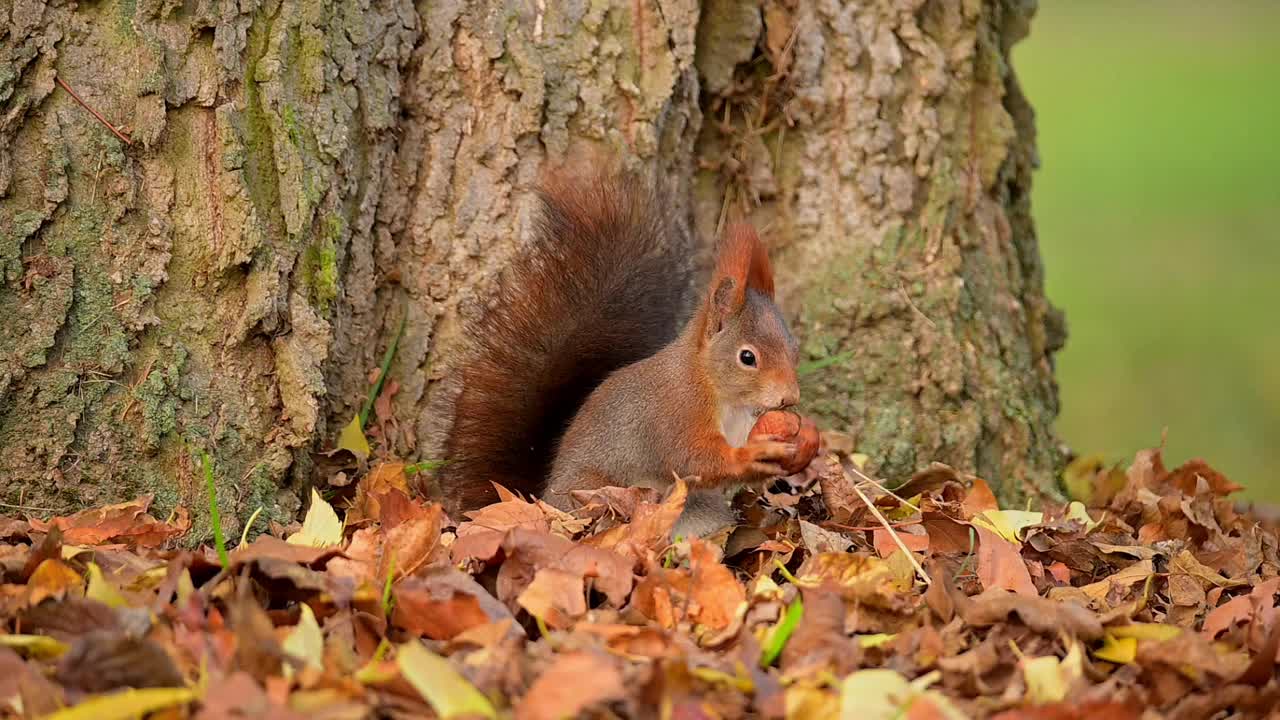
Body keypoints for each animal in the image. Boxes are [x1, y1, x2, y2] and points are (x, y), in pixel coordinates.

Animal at [440, 163, 798, 532]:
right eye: (747, 357)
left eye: (793, 347)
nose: (790, 397)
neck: (720, 391)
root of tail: (544, 500)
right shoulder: (676, 410)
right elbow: (695, 458)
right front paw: (753, 456)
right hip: (598, 495)